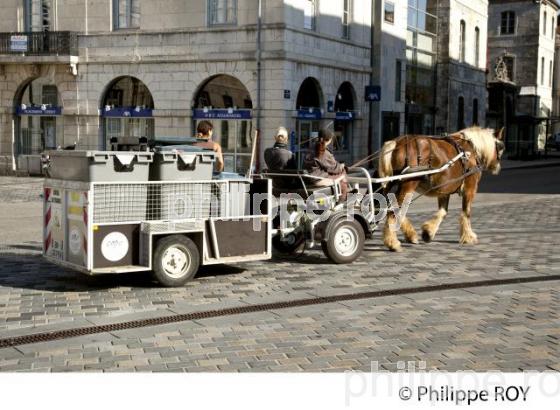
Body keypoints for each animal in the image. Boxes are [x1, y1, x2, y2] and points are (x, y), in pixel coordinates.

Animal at [378, 126, 506, 251]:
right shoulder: (470, 188)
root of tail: (397, 143)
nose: (498, 167)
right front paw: (469, 237)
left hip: (388, 184)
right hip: (408, 184)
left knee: (390, 206)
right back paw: (393, 242)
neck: (471, 150)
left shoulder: (444, 190)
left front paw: (428, 232)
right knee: (394, 209)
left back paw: (410, 235)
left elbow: (443, 212)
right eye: (501, 147)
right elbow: (466, 212)